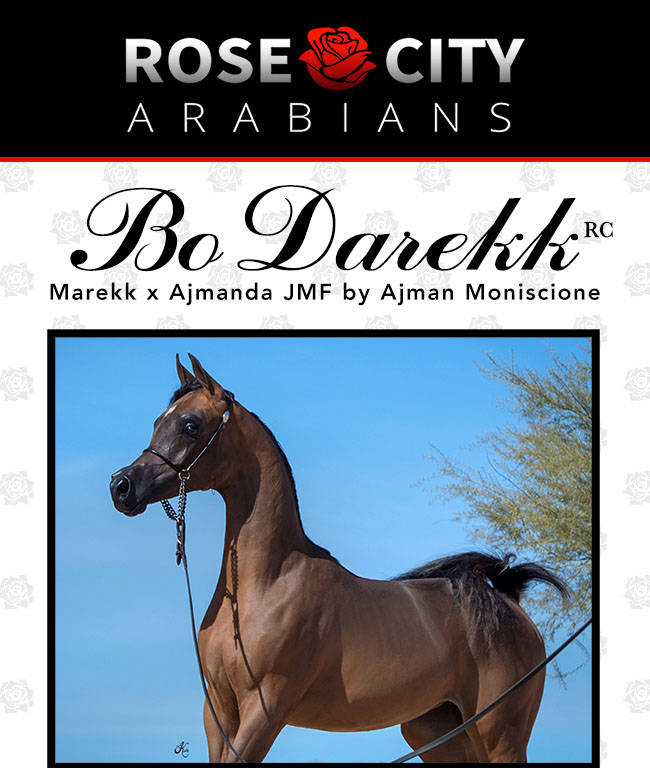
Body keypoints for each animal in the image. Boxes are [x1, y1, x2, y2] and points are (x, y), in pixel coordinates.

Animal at [109, 353, 568, 763]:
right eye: (158, 421)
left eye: (190, 425)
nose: (122, 486)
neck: (265, 586)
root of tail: (509, 604)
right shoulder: (218, 711)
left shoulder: (267, 708)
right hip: (439, 733)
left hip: (499, 736)